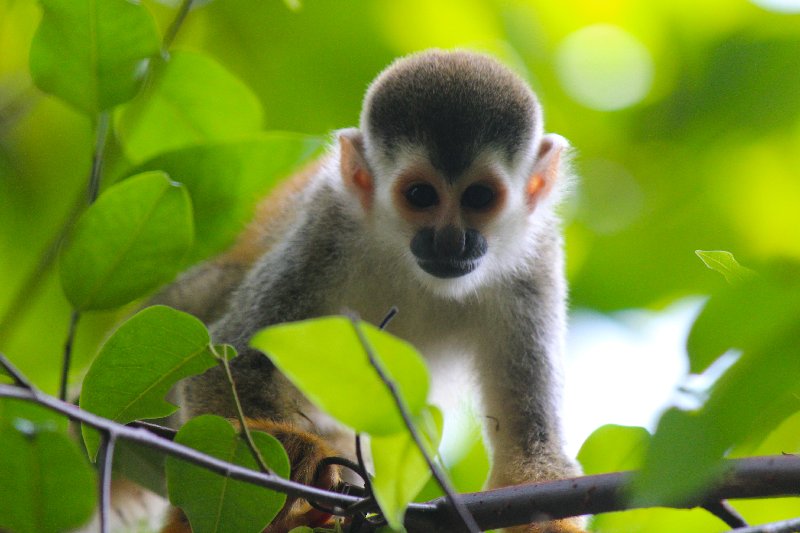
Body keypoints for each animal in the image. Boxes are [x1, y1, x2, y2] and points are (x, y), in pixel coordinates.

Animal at [155, 50, 580, 532]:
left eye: (478, 197)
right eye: (420, 195)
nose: (450, 242)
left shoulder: (535, 268)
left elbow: (530, 453)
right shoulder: (324, 230)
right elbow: (228, 364)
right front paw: (289, 454)